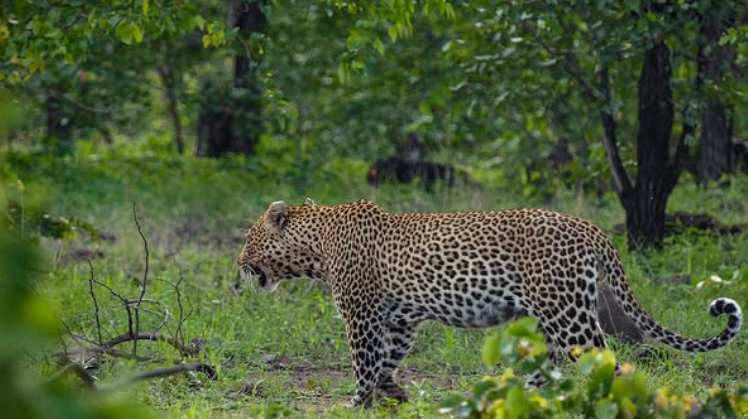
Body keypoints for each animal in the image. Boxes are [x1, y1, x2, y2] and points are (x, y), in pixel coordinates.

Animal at [238, 199, 744, 408]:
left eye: (248, 237)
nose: (238, 264)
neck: (316, 245)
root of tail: (589, 226)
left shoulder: (361, 314)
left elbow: (364, 362)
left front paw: (358, 402)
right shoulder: (400, 320)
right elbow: (387, 360)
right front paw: (393, 394)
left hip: (568, 316)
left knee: (606, 361)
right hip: (549, 320)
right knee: (552, 370)